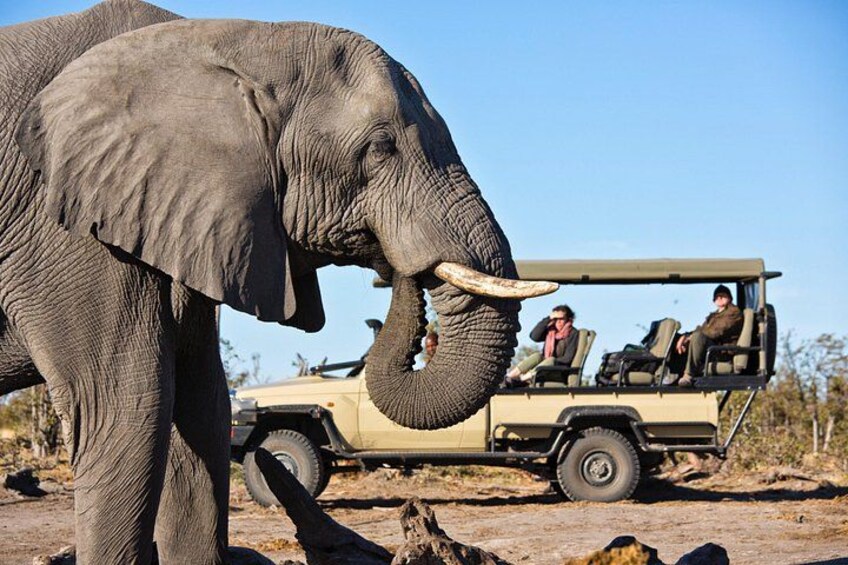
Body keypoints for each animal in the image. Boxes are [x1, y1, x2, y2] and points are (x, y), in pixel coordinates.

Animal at [0, 1, 556, 562]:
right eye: (381, 148)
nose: (399, 267)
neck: (228, 39)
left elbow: (201, 407)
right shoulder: (66, 225)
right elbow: (129, 409)